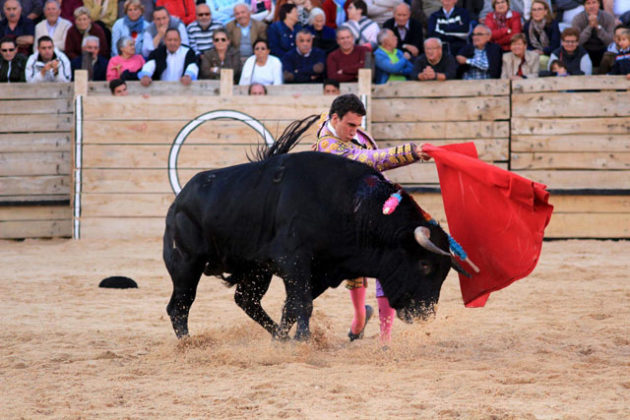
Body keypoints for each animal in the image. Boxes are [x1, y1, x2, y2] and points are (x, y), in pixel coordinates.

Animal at [163, 120, 460, 340]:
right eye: (424, 265)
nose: (425, 314)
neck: (353, 206)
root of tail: (179, 201)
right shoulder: (293, 261)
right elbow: (302, 304)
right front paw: (304, 341)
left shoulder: (320, 271)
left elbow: (292, 307)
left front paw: (288, 339)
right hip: (187, 262)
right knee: (180, 305)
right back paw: (189, 344)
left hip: (255, 270)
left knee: (246, 300)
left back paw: (277, 337)